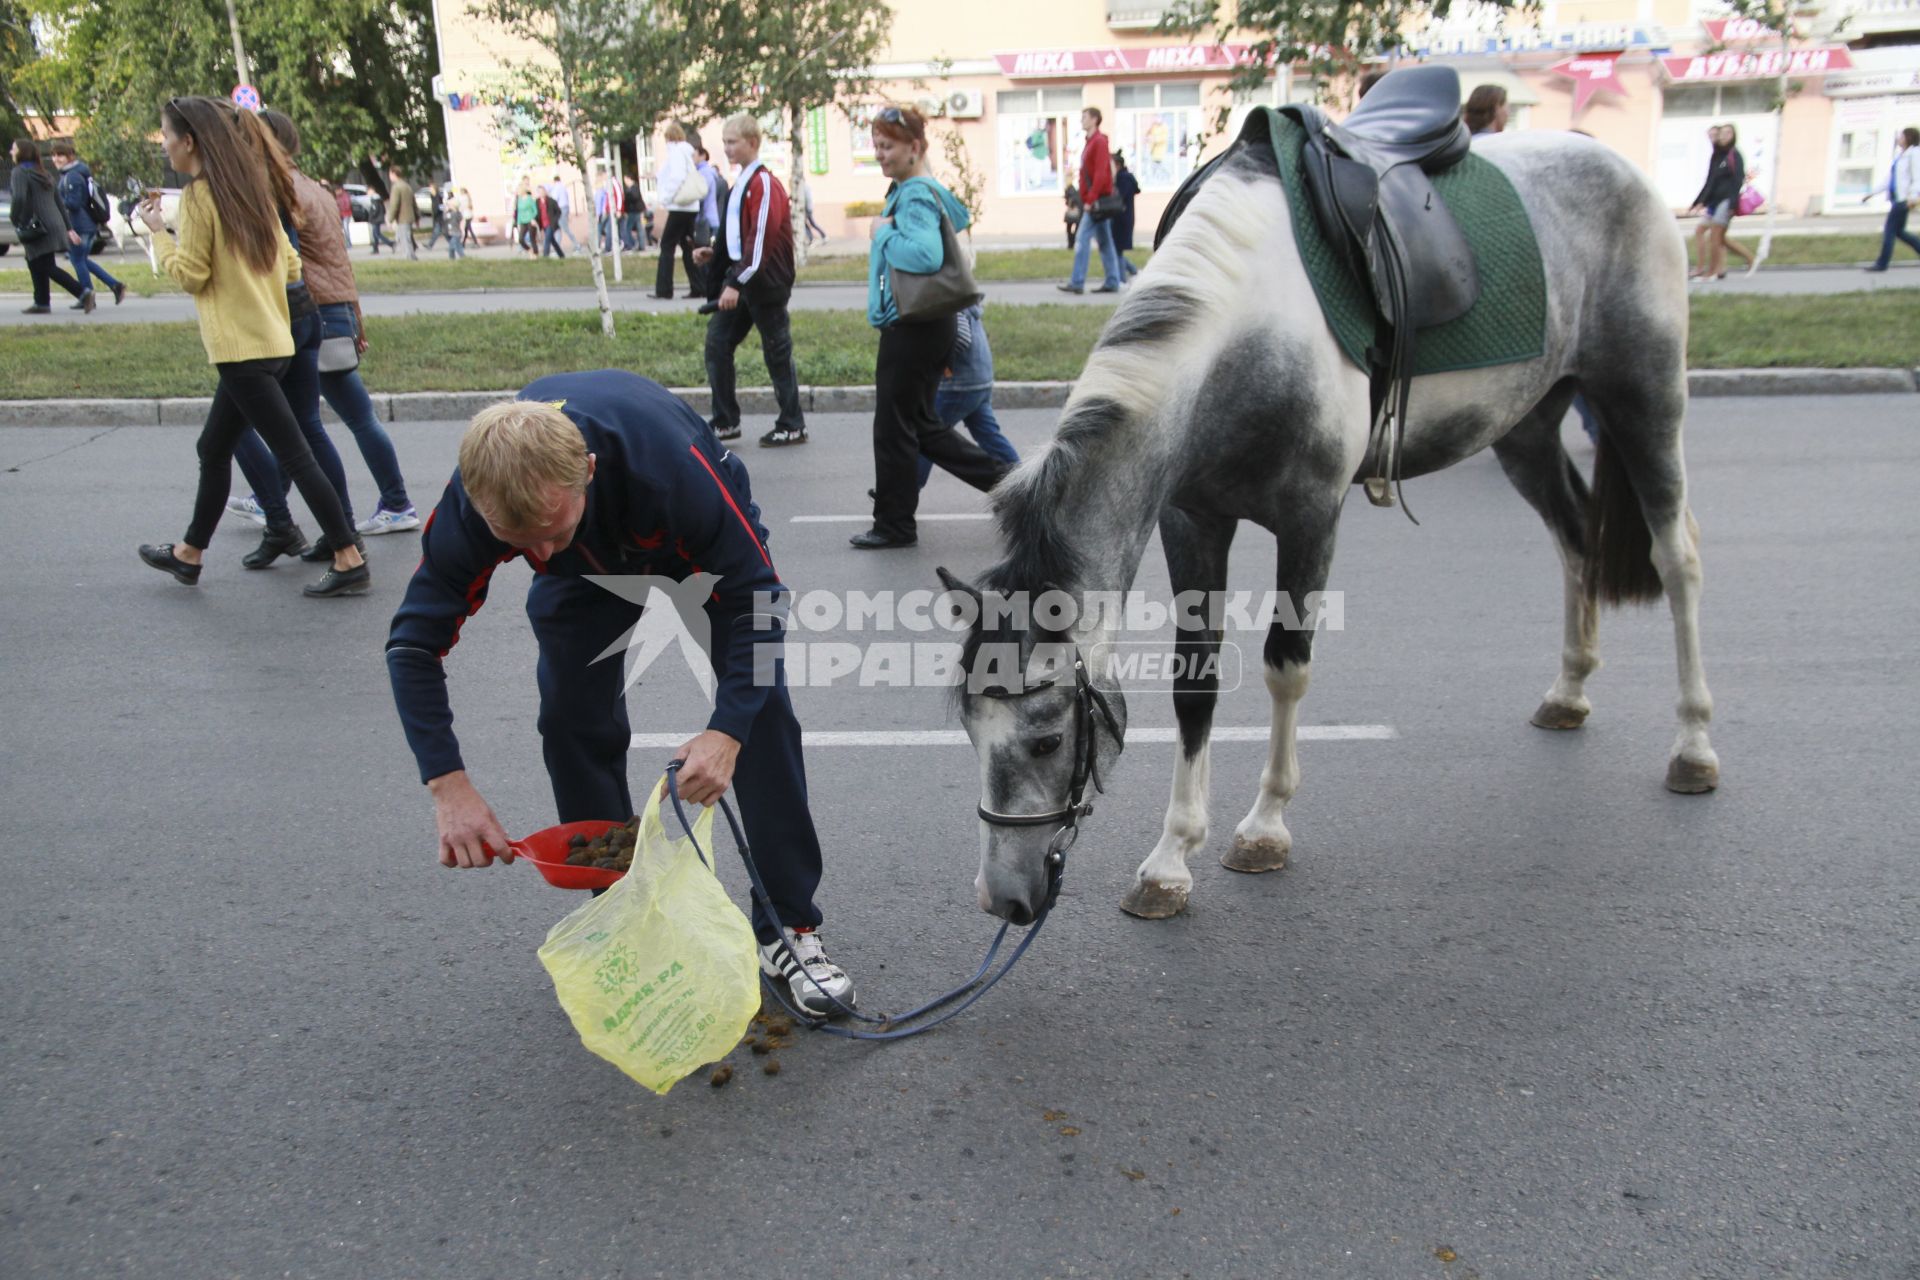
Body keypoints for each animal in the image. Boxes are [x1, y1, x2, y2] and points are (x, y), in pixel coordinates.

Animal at [944, 130, 1728, 924]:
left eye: (1047, 740)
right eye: (968, 728)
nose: (1002, 898)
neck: (1251, 331)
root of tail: (1615, 164)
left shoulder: (1311, 518)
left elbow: (1286, 666)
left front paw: (1264, 827)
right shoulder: (1191, 520)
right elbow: (1195, 680)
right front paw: (1170, 860)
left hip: (1644, 398)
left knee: (1679, 558)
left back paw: (1693, 743)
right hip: (1528, 427)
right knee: (1575, 540)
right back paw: (1568, 692)